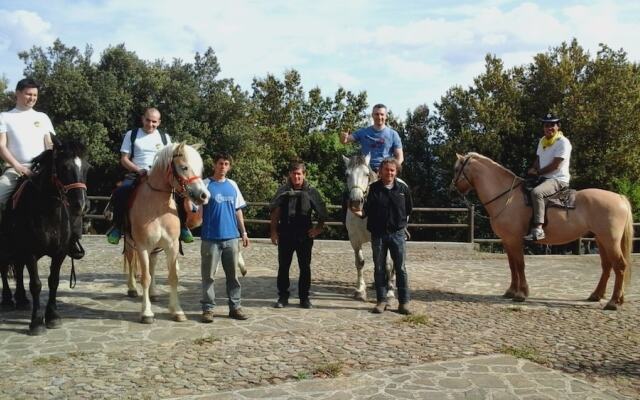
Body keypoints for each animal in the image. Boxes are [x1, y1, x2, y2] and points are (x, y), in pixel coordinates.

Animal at [0, 138, 89, 334]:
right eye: (64, 167)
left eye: (87, 167)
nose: (81, 204)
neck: (48, 212)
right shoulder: (30, 252)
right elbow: (36, 284)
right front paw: (36, 323)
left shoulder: (60, 252)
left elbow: (53, 281)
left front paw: (53, 317)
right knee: (3, 269)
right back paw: (8, 300)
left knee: (18, 269)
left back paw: (22, 300)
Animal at [128, 142, 210, 324]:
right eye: (184, 167)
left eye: (199, 168)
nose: (204, 196)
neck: (157, 208)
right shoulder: (142, 246)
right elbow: (145, 278)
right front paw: (147, 313)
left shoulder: (171, 246)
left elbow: (173, 277)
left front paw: (177, 311)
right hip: (130, 242)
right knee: (130, 262)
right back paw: (131, 288)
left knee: (152, 266)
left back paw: (153, 293)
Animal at [342, 155, 392, 302]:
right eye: (347, 174)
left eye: (367, 174)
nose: (355, 202)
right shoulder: (354, 240)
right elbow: (360, 263)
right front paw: (360, 290)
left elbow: (387, 263)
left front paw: (389, 292)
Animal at [452, 153, 632, 310]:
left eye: (456, 168)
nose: (451, 188)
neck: (507, 197)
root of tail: (620, 198)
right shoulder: (507, 240)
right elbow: (512, 265)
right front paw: (511, 291)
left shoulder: (515, 240)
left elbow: (520, 264)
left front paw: (521, 294)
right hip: (601, 239)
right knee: (607, 266)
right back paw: (598, 296)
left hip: (610, 240)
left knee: (620, 266)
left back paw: (613, 302)